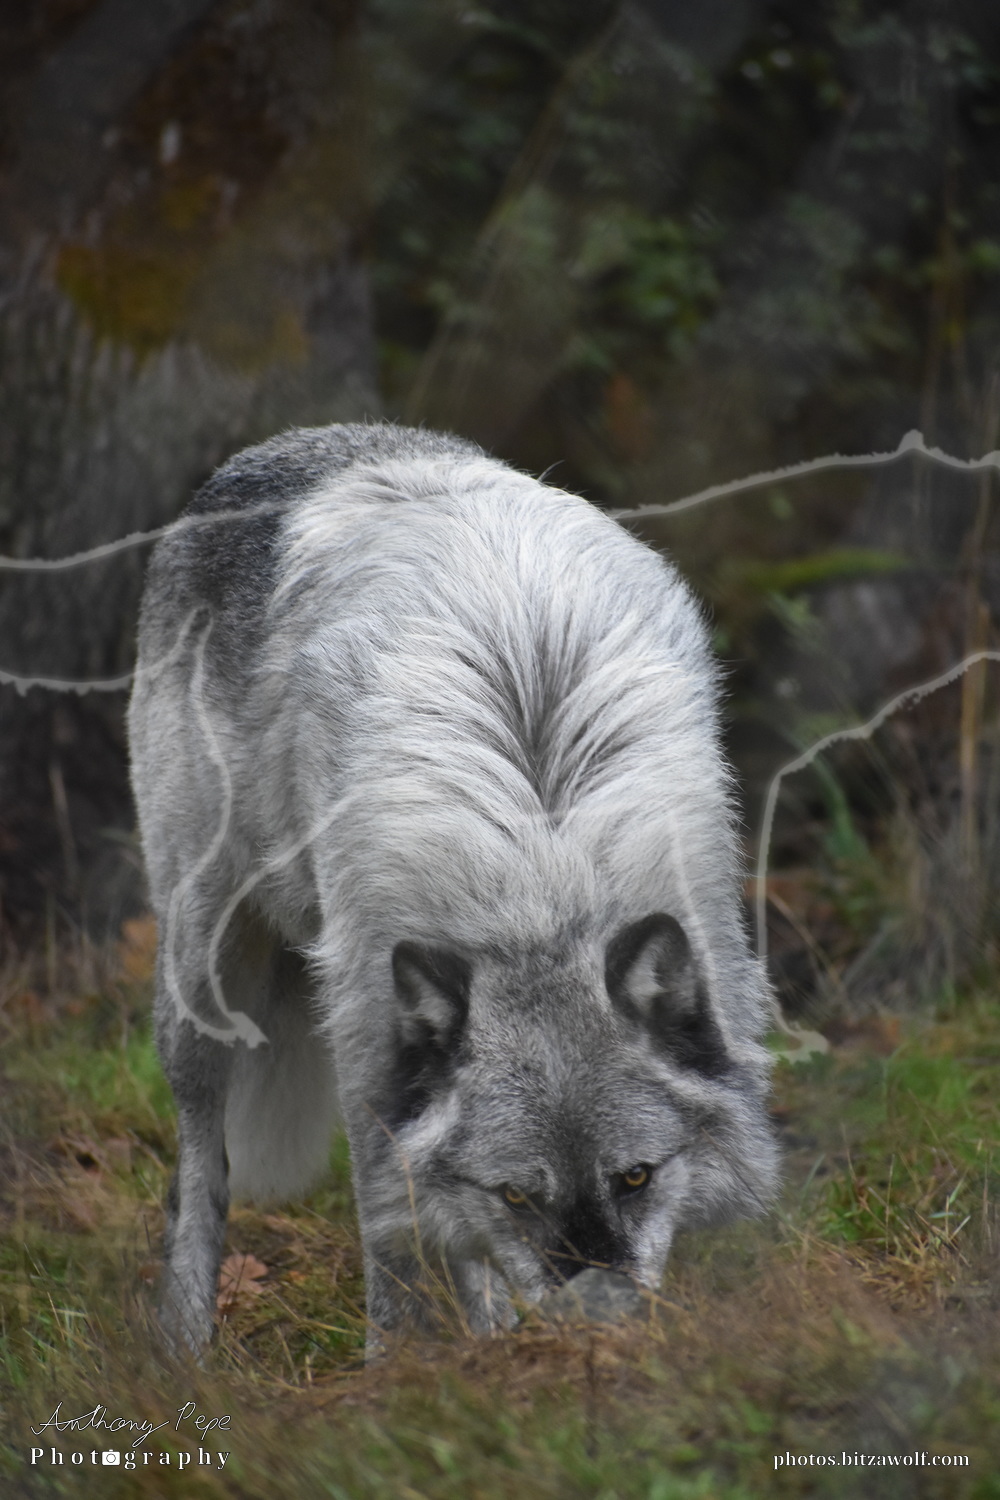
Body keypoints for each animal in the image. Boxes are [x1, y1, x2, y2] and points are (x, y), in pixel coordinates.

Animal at [128, 421, 778, 1354]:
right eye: (515, 1194)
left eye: (636, 1177)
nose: (598, 1328)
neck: (541, 876)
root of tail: (290, 443)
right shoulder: (370, 1047)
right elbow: (397, 1242)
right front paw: (405, 1367)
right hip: (203, 976)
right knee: (197, 1171)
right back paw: (183, 1348)